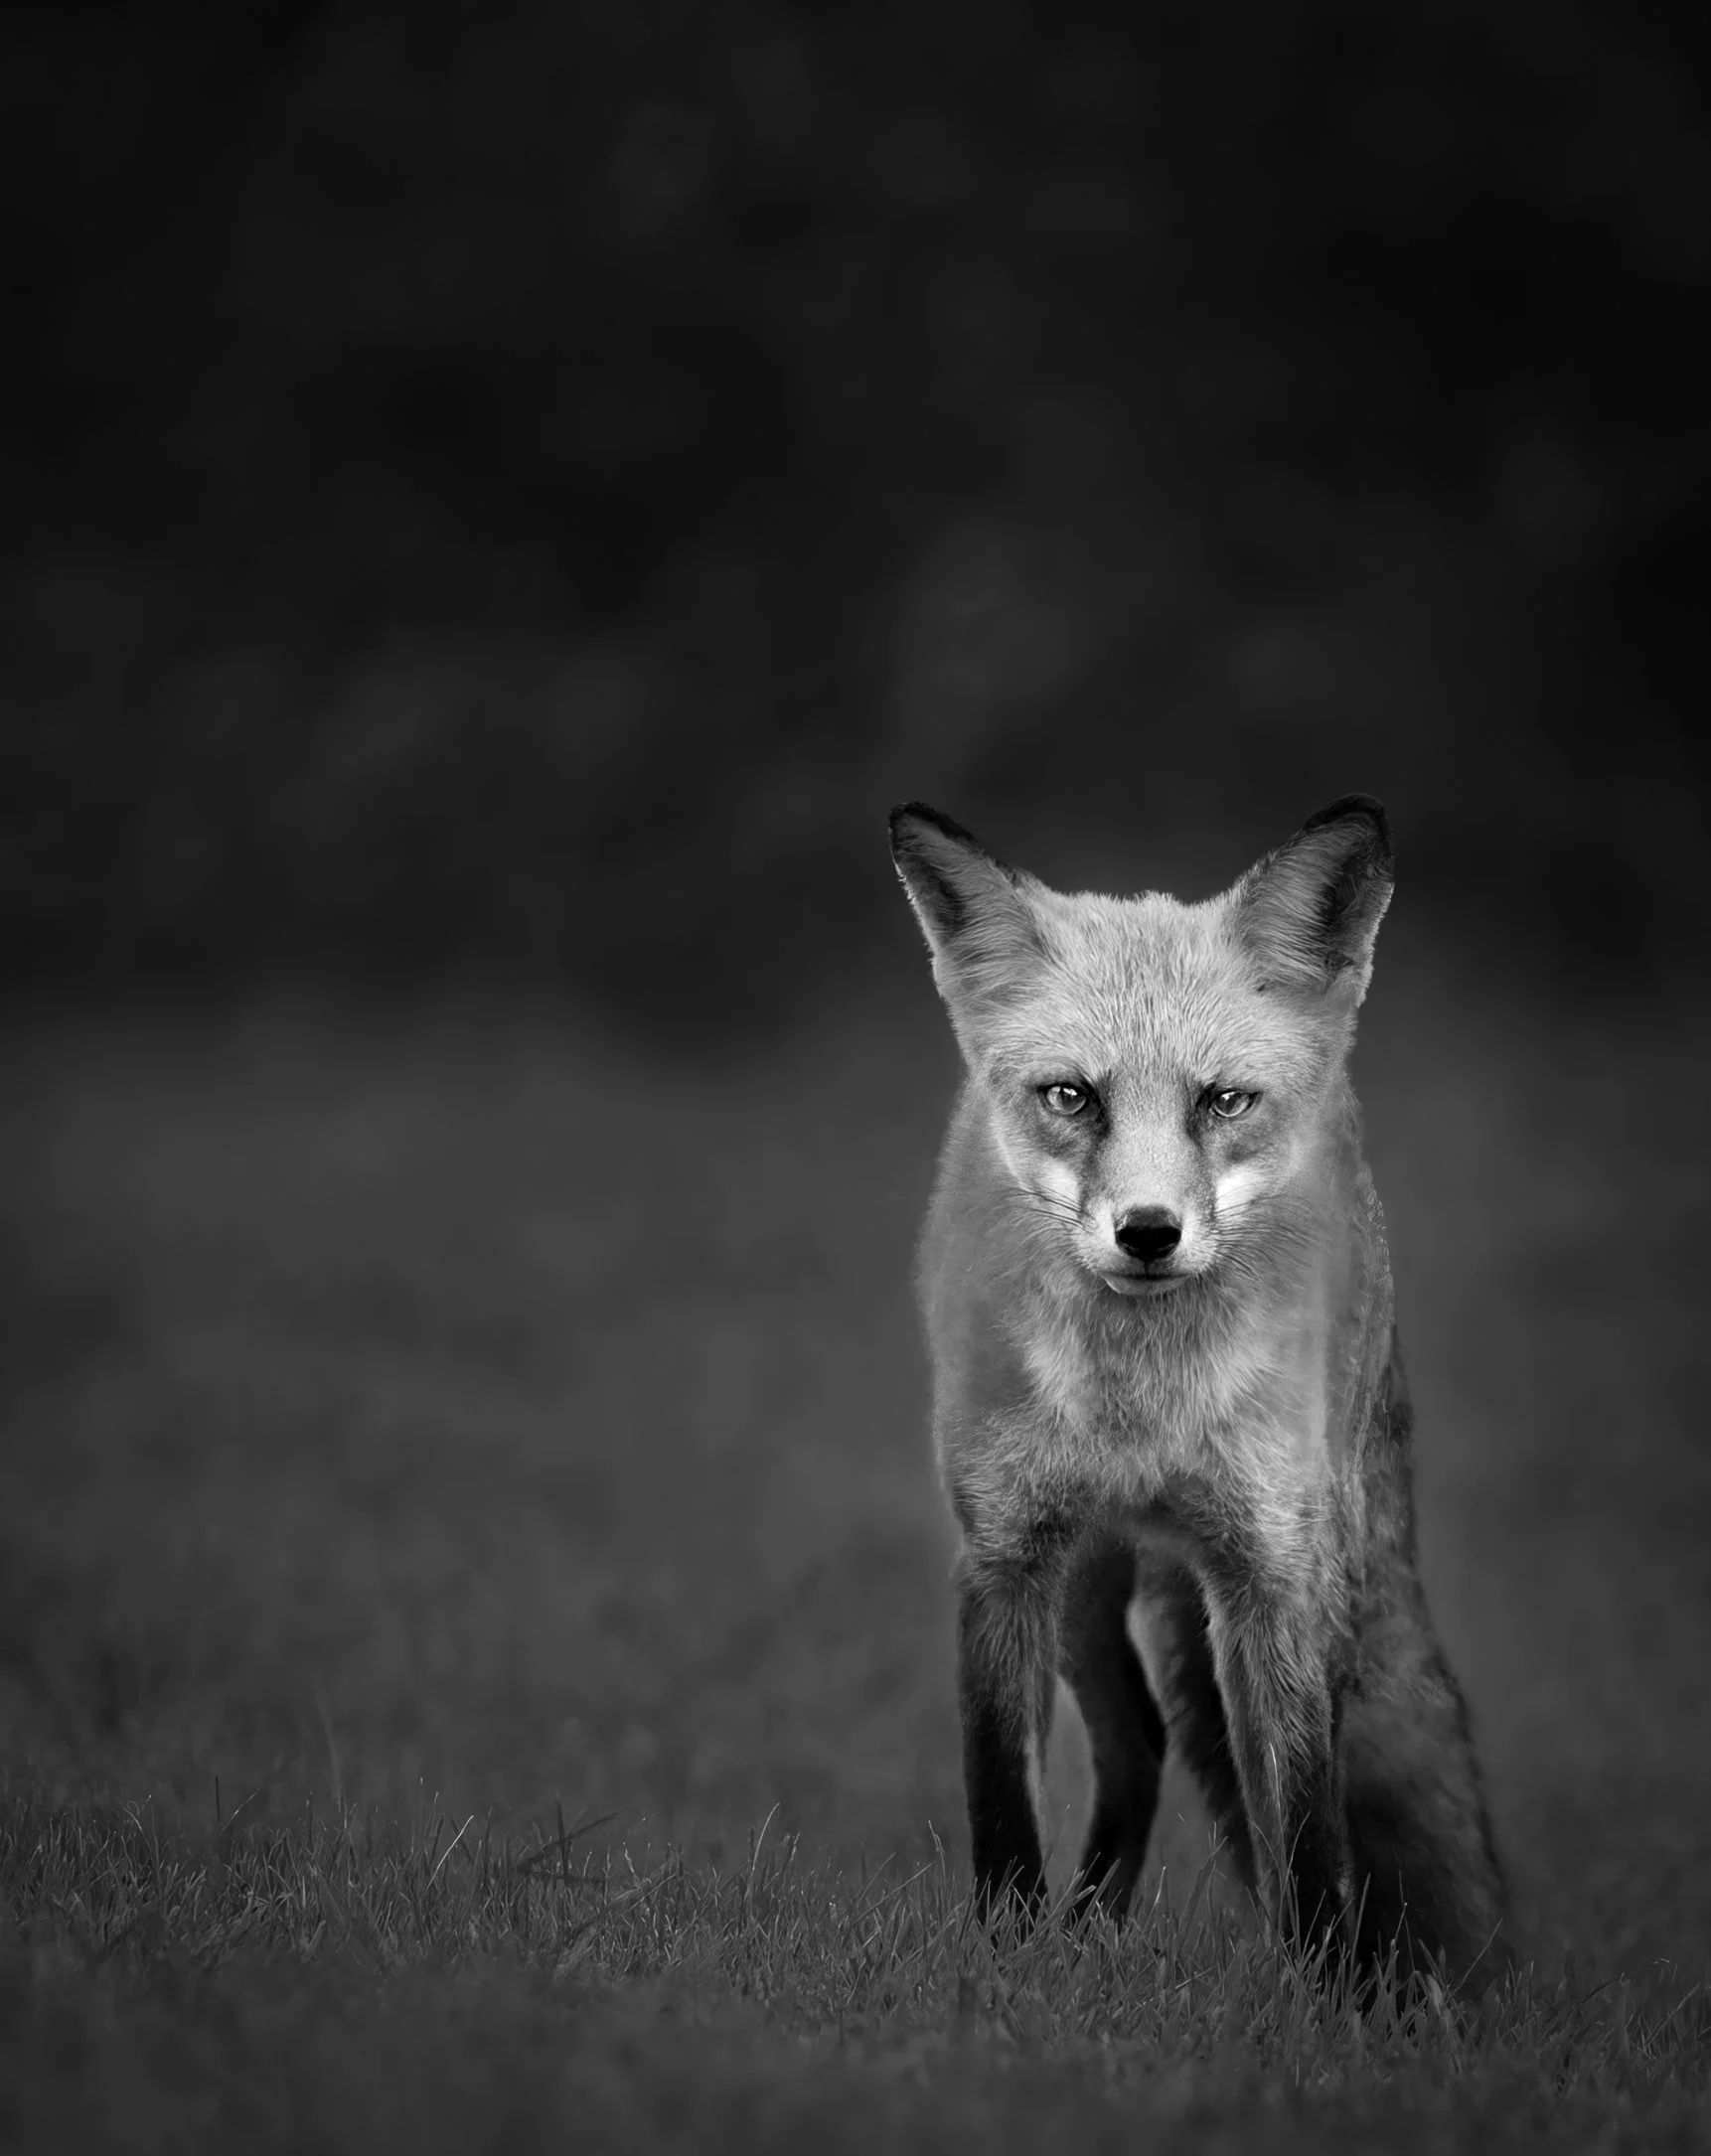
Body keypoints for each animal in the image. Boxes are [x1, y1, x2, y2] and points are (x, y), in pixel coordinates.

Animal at [890, 796, 1509, 1991]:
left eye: (1222, 1100)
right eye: (1071, 1095)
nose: (1147, 1232)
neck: (1141, 1411)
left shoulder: (1272, 1571)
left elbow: (1306, 1828)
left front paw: (1325, 2000)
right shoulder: (1003, 1554)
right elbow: (1001, 1804)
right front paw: (1004, 1968)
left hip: (1318, 1557)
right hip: (1088, 1583)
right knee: (1139, 1743)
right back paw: (1081, 1933)